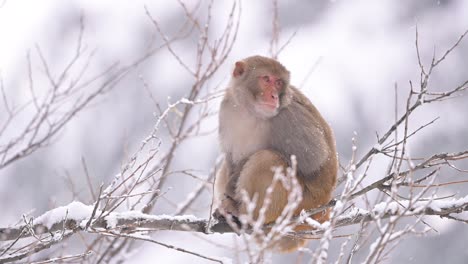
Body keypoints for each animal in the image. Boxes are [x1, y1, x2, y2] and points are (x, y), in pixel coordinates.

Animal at [216, 55, 336, 252]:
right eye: (266, 79)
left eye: (279, 83)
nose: (273, 96)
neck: (249, 111)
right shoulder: (226, 110)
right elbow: (231, 158)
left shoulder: (288, 118)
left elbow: (313, 161)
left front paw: (232, 188)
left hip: (301, 204)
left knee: (267, 159)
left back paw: (246, 215)